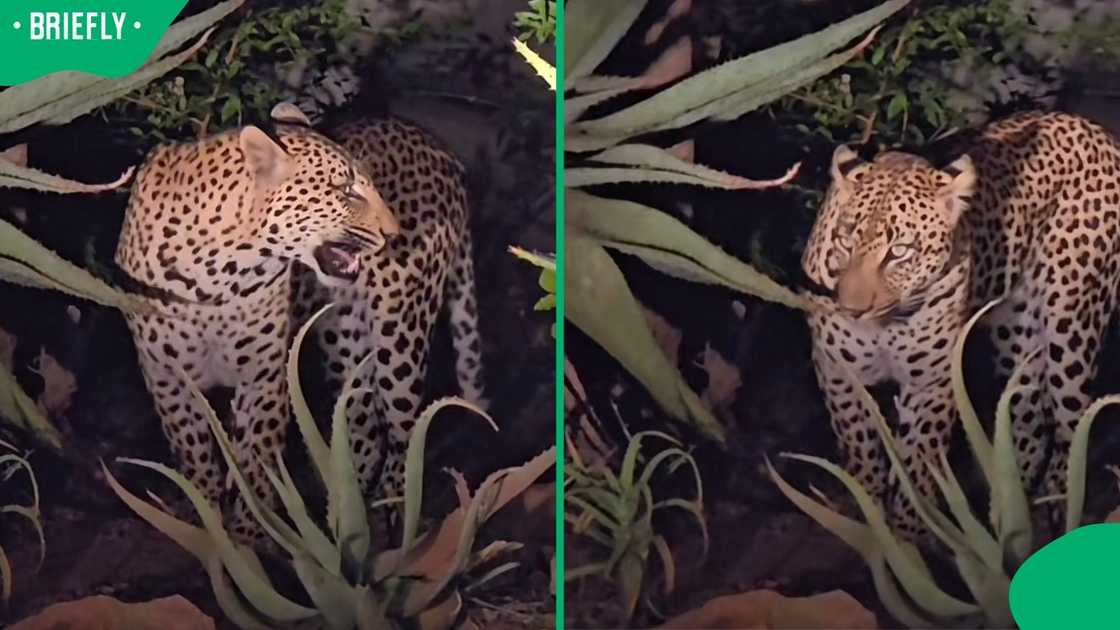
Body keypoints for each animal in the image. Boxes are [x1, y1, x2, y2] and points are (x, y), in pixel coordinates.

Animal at [115, 103, 400, 539]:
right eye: (346, 190)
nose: (395, 234)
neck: (219, 278)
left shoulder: (263, 375)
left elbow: (257, 464)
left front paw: (254, 534)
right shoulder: (167, 377)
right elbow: (196, 453)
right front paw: (211, 526)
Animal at [800, 110, 1120, 537]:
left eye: (899, 252)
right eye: (845, 240)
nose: (851, 309)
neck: (885, 324)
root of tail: (1091, 127)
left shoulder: (931, 383)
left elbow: (917, 464)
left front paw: (910, 535)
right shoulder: (838, 371)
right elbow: (861, 445)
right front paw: (869, 520)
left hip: (1072, 323)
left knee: (1072, 420)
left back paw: (1053, 505)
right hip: (1015, 331)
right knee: (1030, 417)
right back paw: (1008, 507)